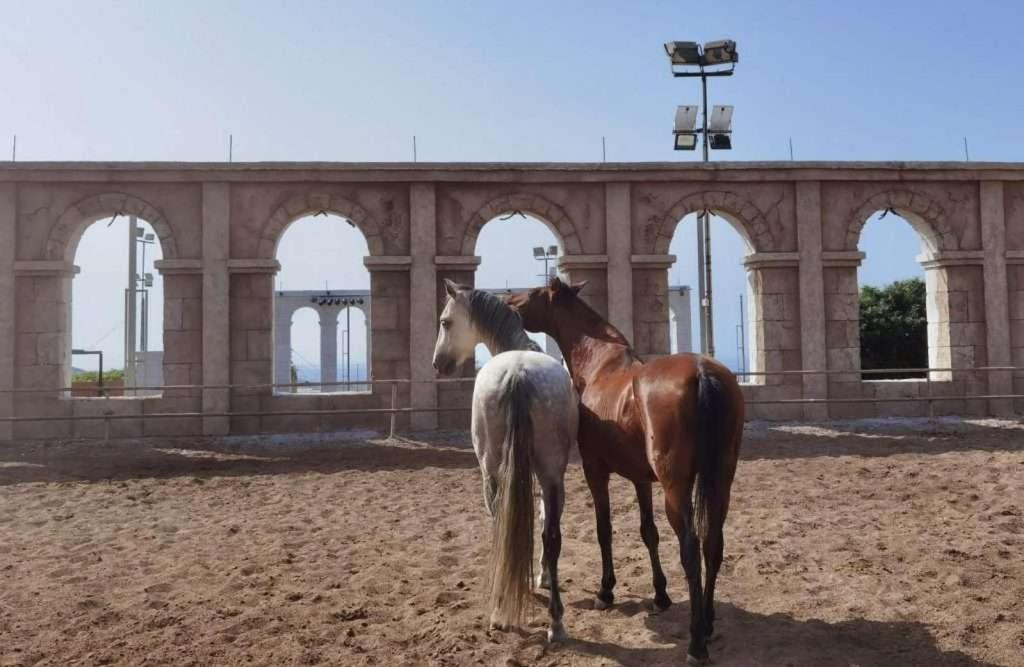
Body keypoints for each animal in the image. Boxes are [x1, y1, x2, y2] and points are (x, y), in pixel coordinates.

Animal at [430, 280, 581, 643]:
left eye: (445, 322)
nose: (437, 363)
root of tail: (518, 373)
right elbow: (543, 522)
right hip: (548, 474)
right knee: (549, 535)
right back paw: (553, 620)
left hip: (497, 473)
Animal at [505, 278, 741, 663]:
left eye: (536, 292)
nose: (509, 301)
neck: (601, 366)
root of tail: (702, 373)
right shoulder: (641, 479)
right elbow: (648, 532)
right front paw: (660, 595)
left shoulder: (595, 472)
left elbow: (605, 530)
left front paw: (606, 592)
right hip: (721, 481)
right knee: (713, 544)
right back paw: (706, 622)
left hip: (676, 489)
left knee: (691, 551)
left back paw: (696, 644)